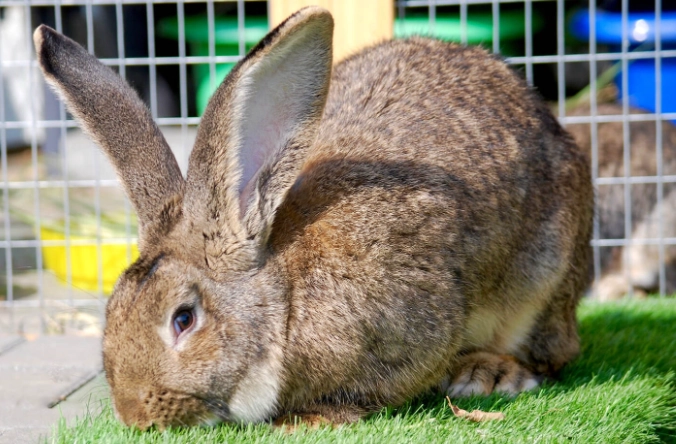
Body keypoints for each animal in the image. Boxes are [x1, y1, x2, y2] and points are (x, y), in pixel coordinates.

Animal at [33, 6, 593, 430]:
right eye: (112, 311)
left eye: (183, 319)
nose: (136, 416)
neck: (286, 298)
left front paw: (308, 420)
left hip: (545, 279)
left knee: (553, 352)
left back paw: (489, 375)